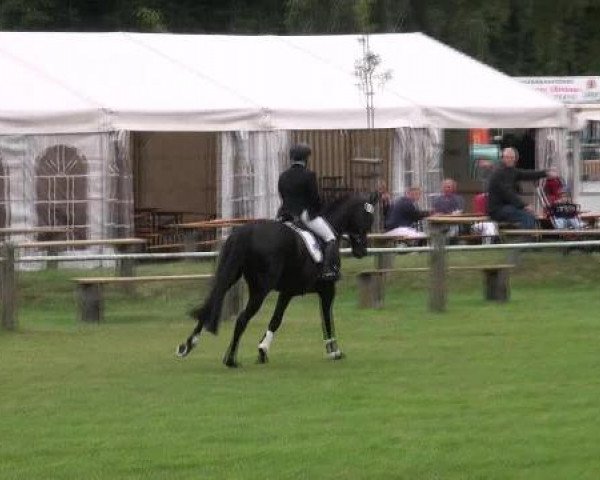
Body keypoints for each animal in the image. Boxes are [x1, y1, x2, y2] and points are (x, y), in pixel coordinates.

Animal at [176, 193, 378, 366]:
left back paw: (187, 346)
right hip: (260, 289)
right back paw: (231, 359)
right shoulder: (327, 289)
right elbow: (327, 318)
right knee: (241, 319)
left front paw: (262, 350)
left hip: (230, 278)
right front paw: (334, 351)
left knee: (208, 307)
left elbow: (276, 320)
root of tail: (246, 232)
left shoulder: (287, 292)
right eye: (368, 217)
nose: (362, 251)